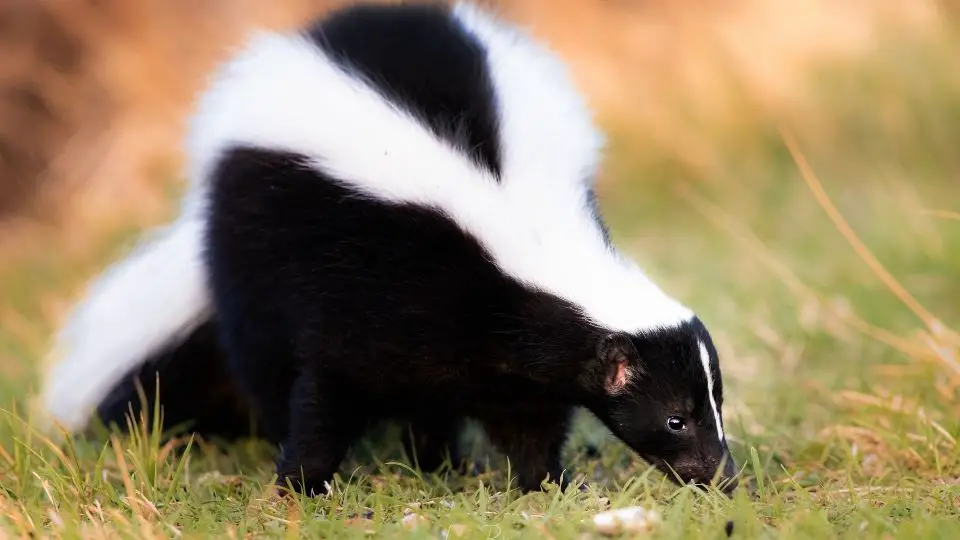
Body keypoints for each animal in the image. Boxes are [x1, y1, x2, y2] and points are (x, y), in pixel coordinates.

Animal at [31, 0, 736, 496]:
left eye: (716, 404)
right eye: (676, 418)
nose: (721, 475)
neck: (526, 236)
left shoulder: (498, 341)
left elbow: (529, 414)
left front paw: (546, 483)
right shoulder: (369, 288)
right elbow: (324, 389)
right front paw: (301, 485)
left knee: (431, 397)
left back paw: (439, 464)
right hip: (250, 252)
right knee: (264, 363)